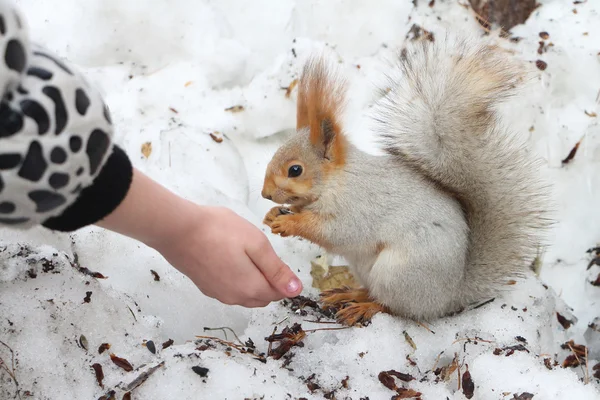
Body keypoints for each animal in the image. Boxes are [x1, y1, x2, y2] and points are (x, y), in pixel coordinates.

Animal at [260, 36, 552, 326]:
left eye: (295, 170)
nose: (265, 194)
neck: (337, 181)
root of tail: (449, 296)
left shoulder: (358, 207)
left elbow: (337, 231)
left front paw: (290, 223)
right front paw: (274, 214)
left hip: (396, 274)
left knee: (395, 307)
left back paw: (363, 308)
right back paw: (349, 293)